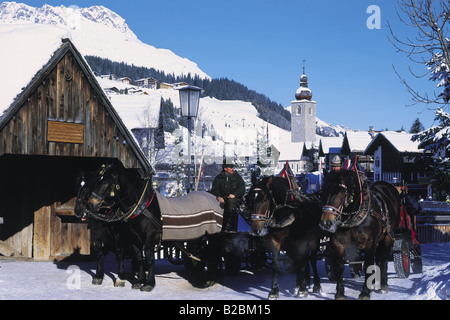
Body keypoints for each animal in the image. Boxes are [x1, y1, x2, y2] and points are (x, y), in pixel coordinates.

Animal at [320, 169, 400, 298]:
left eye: (340, 192)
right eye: (323, 193)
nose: (326, 222)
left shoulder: (370, 244)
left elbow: (368, 265)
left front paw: (365, 292)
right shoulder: (338, 245)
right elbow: (339, 267)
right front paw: (340, 293)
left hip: (387, 237)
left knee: (383, 259)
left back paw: (383, 285)